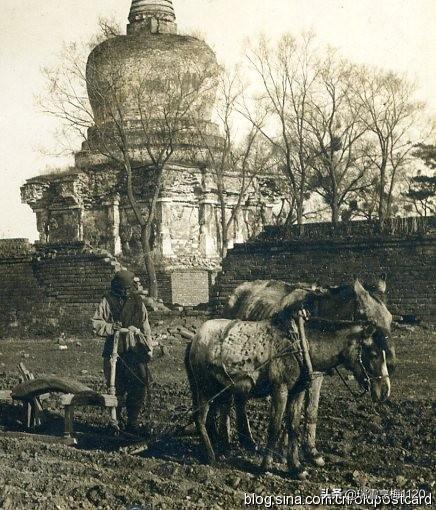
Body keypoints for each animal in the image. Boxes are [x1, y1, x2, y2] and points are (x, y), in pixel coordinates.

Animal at [186, 278, 394, 478]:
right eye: (374, 353)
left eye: (390, 319)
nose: (385, 389)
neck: (301, 343)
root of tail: (195, 339)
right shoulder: (281, 389)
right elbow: (275, 425)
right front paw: (268, 463)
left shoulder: (300, 389)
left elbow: (296, 422)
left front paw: (298, 464)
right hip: (204, 387)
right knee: (205, 416)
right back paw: (214, 453)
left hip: (222, 385)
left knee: (226, 405)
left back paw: (230, 444)